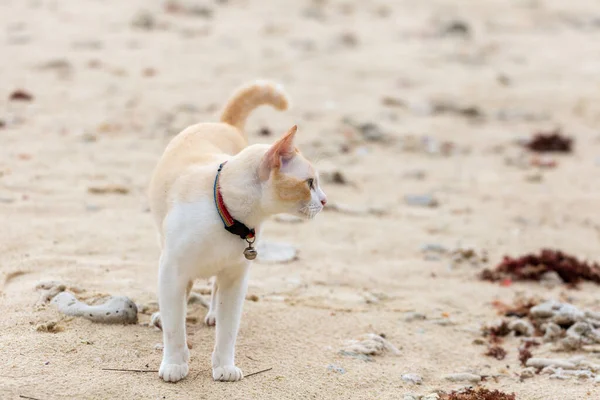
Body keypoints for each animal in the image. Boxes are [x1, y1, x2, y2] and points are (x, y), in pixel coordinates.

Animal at [148, 79, 326, 382]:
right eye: (310, 183)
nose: (325, 200)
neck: (226, 214)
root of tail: (223, 124)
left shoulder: (235, 278)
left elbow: (228, 330)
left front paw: (223, 366)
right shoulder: (172, 269)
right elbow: (175, 327)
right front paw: (174, 362)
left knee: (215, 291)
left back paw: (212, 315)